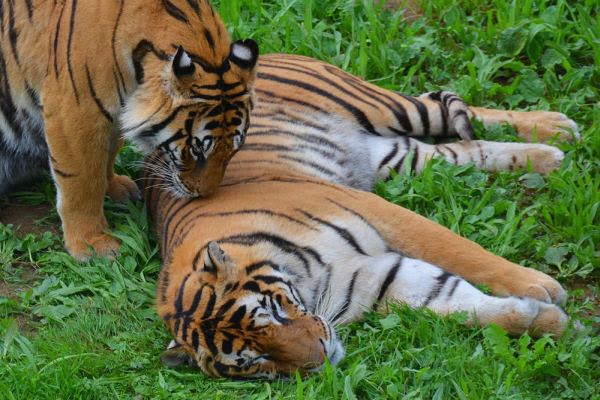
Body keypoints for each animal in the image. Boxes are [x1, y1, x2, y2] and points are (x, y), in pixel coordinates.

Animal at [0, 0, 258, 260]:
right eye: (197, 150)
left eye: (232, 151)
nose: (203, 195)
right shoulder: (74, 111)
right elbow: (82, 181)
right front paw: (92, 244)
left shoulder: (114, 113)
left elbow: (106, 156)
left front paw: (115, 188)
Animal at [142, 54, 576, 378]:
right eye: (254, 359)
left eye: (274, 313)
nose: (322, 357)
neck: (308, 282)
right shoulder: (380, 280)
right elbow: (464, 306)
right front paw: (550, 322)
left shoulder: (375, 210)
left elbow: (460, 251)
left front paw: (539, 287)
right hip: (398, 157)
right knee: (464, 150)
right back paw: (548, 156)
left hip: (378, 104)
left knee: (451, 107)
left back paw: (557, 127)